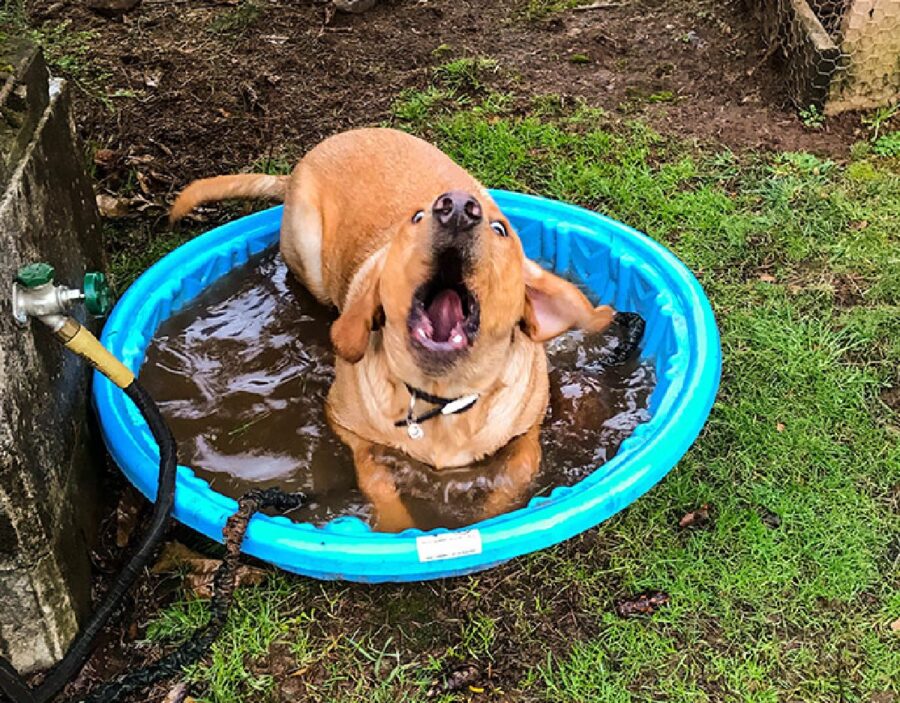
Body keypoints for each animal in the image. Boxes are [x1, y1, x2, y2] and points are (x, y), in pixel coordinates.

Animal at [171, 128, 616, 532]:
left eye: (500, 229)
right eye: (415, 218)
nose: (456, 208)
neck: (442, 398)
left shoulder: (528, 430)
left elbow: (517, 473)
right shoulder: (348, 427)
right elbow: (377, 479)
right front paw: (397, 525)